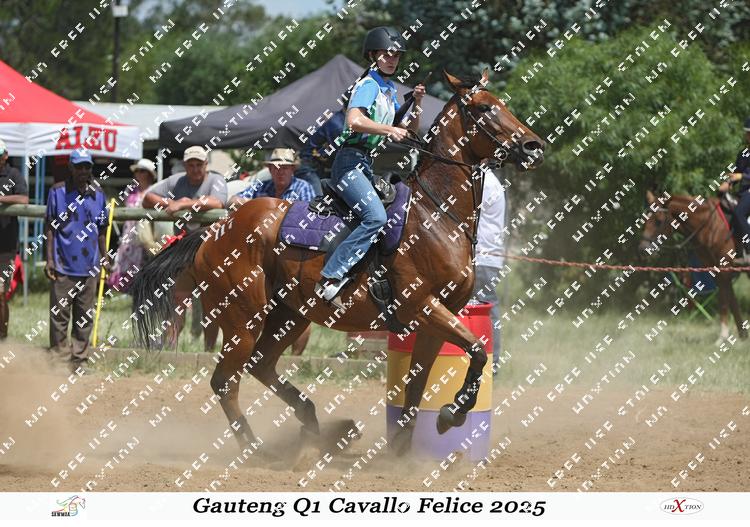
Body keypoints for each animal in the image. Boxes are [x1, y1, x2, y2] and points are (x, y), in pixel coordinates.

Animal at [130, 69, 545, 458]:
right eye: (485, 107)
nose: (534, 145)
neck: (436, 214)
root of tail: (214, 230)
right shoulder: (423, 306)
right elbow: (476, 352)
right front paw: (451, 415)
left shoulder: (437, 319)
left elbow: (418, 385)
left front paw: (401, 451)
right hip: (244, 318)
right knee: (225, 381)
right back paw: (257, 449)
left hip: (289, 315)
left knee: (260, 365)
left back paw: (315, 424)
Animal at [639, 190, 749, 341]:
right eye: (645, 220)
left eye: (658, 221)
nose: (643, 249)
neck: (710, 225)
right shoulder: (716, 270)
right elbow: (731, 300)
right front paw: (742, 335)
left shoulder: (724, 268)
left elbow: (724, 300)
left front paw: (723, 336)